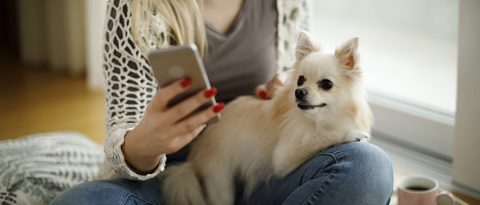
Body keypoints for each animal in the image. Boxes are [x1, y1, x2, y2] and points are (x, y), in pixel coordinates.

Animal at [163, 31, 374, 204]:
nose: (299, 92)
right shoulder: (284, 157)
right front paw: (351, 134)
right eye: (300, 80)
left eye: (326, 84)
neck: (320, 120)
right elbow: (322, 137)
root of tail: (192, 159)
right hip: (219, 181)